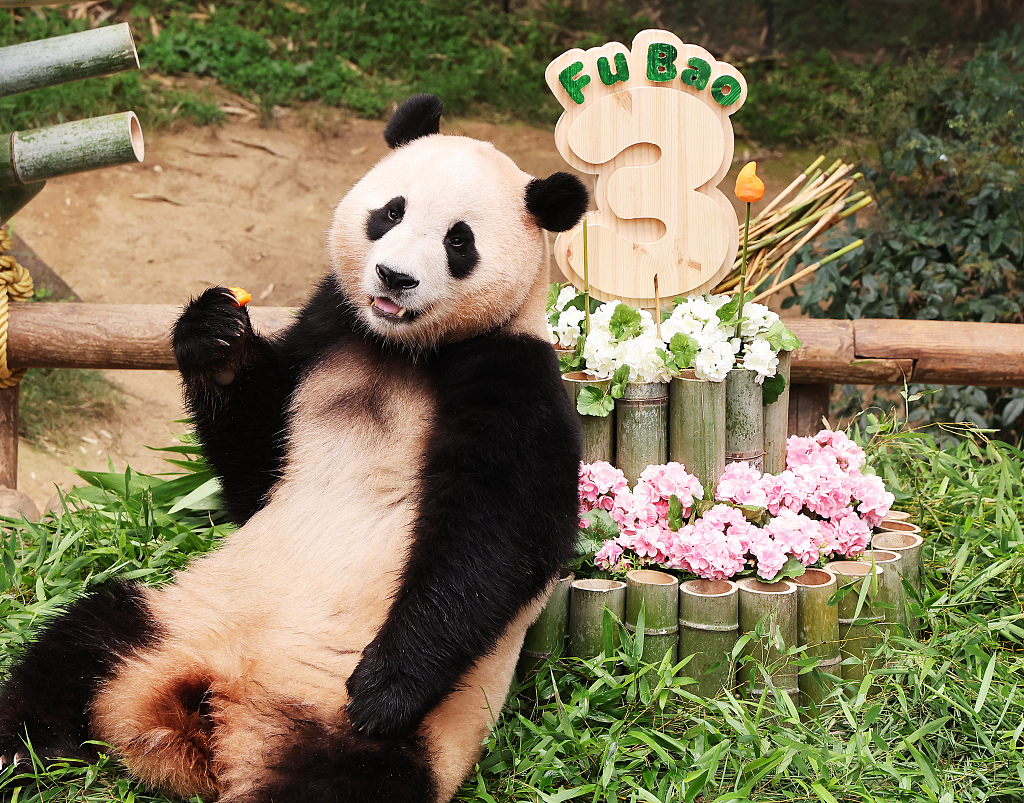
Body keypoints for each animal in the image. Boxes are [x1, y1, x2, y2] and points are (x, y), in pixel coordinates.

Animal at [0, 95, 589, 802]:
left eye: (458, 241)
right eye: (391, 211)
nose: (394, 276)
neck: (401, 350)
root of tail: (215, 716)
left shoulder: (513, 376)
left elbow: (501, 536)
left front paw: (386, 687)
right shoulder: (325, 333)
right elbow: (255, 475)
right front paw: (216, 337)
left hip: (363, 736)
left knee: (336, 781)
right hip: (177, 616)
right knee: (82, 643)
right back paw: (18, 748)